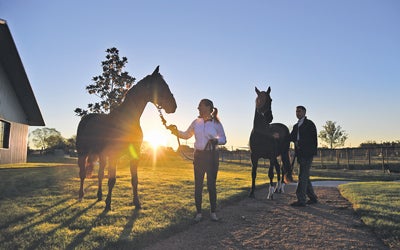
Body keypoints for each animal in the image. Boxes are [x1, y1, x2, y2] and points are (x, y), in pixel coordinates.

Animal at [76, 65, 177, 210]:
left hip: (101, 155)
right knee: (83, 174)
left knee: (100, 174)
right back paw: (81, 195)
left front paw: (137, 202)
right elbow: (112, 180)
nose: (174, 106)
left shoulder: (134, 154)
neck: (126, 121)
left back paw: (99, 195)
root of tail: (86, 118)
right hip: (82, 152)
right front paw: (108, 204)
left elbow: (134, 180)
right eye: (162, 86)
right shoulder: (113, 155)